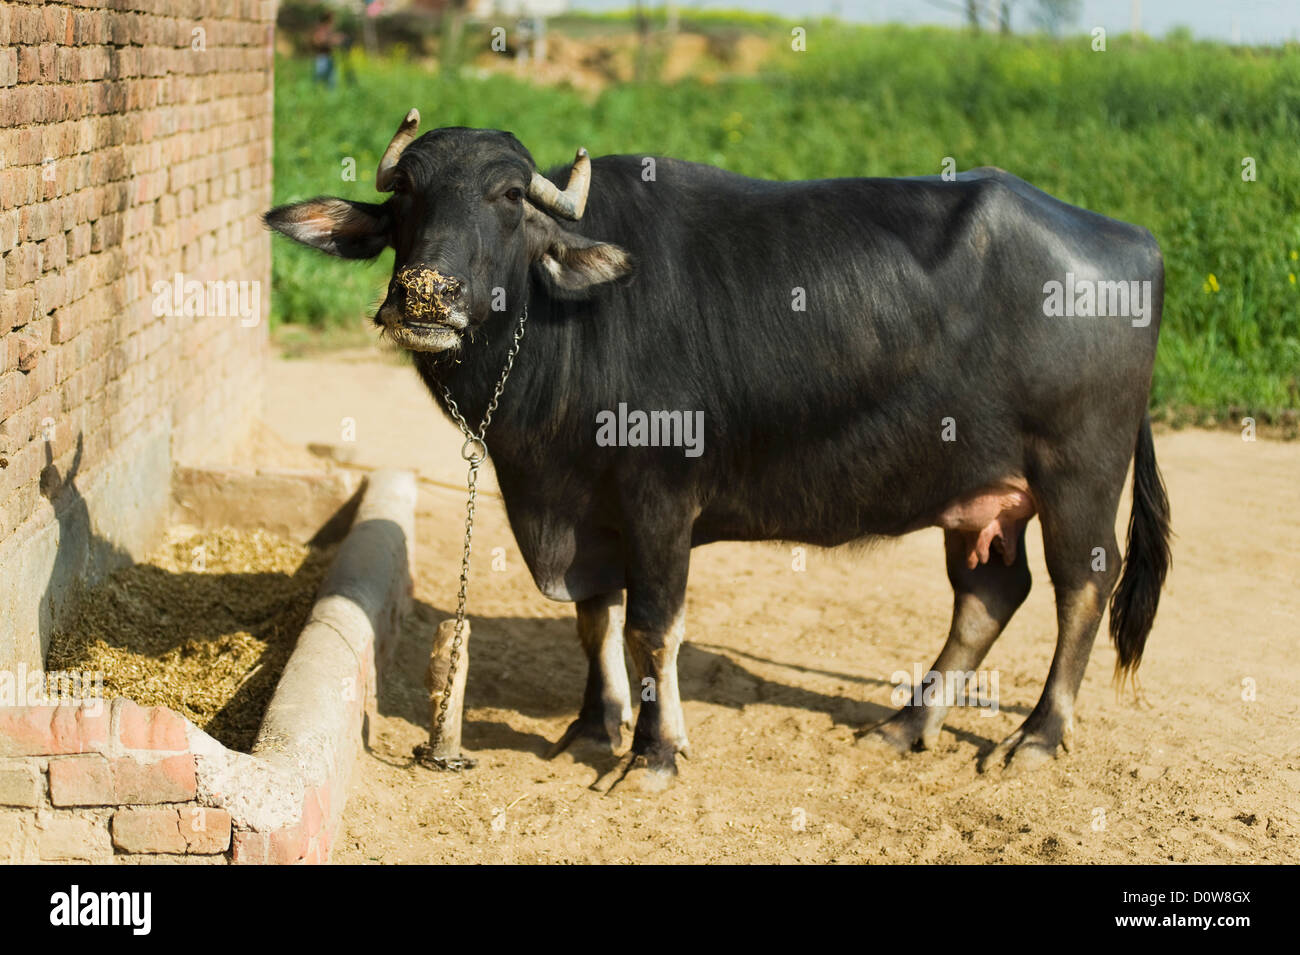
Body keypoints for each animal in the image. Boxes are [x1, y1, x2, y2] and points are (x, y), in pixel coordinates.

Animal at [263, 111, 1170, 789]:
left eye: (510, 195)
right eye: (409, 193)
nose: (426, 295)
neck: (565, 328)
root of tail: (1136, 244)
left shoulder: (660, 499)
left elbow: (653, 626)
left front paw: (653, 751)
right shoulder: (579, 508)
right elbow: (595, 617)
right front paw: (593, 724)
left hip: (1079, 472)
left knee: (1082, 587)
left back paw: (1038, 734)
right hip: (978, 492)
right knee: (990, 593)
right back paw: (907, 721)